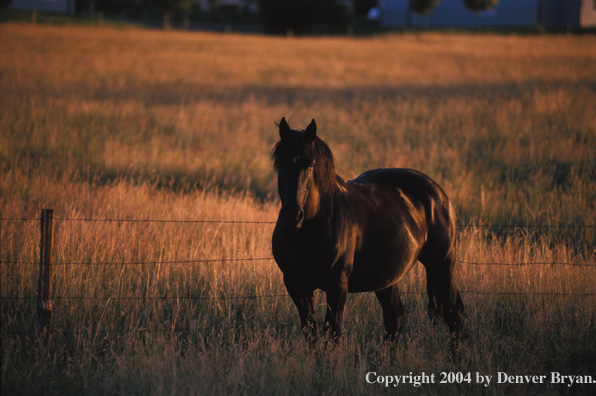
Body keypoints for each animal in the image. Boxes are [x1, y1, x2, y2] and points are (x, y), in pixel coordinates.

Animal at [272, 117, 464, 344]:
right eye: (280, 163)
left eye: (310, 165)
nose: (292, 216)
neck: (307, 232)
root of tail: (439, 194)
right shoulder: (296, 285)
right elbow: (312, 334)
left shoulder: (337, 284)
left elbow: (332, 333)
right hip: (387, 278)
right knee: (395, 317)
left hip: (442, 265)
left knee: (454, 316)